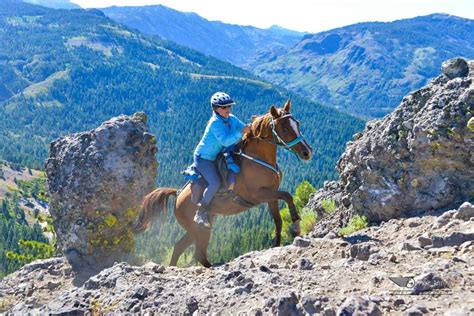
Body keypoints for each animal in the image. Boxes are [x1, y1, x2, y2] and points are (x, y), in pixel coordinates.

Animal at [135, 100, 312, 268]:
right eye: (284, 128)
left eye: (297, 123)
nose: (307, 152)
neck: (257, 160)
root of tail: (178, 194)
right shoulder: (259, 195)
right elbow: (287, 195)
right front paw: (296, 223)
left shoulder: (271, 196)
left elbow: (278, 220)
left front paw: (278, 241)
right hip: (200, 229)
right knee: (198, 253)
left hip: (197, 229)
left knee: (180, 247)